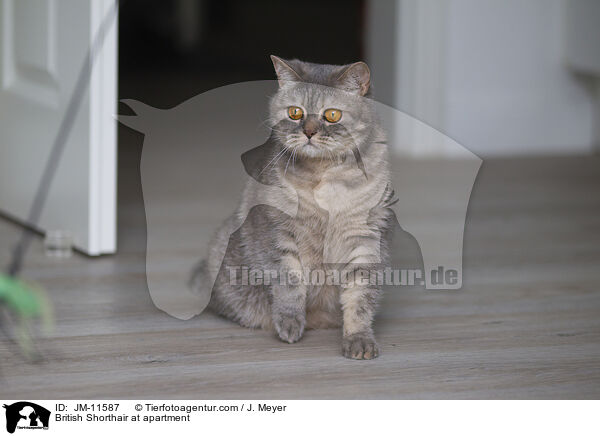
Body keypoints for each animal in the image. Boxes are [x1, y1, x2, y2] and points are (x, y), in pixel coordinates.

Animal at [193, 56, 394, 360]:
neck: (323, 177)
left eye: (331, 115)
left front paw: (359, 339)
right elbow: (289, 283)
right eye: (295, 112)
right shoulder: (276, 230)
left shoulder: (363, 237)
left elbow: (360, 298)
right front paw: (289, 324)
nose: (308, 132)